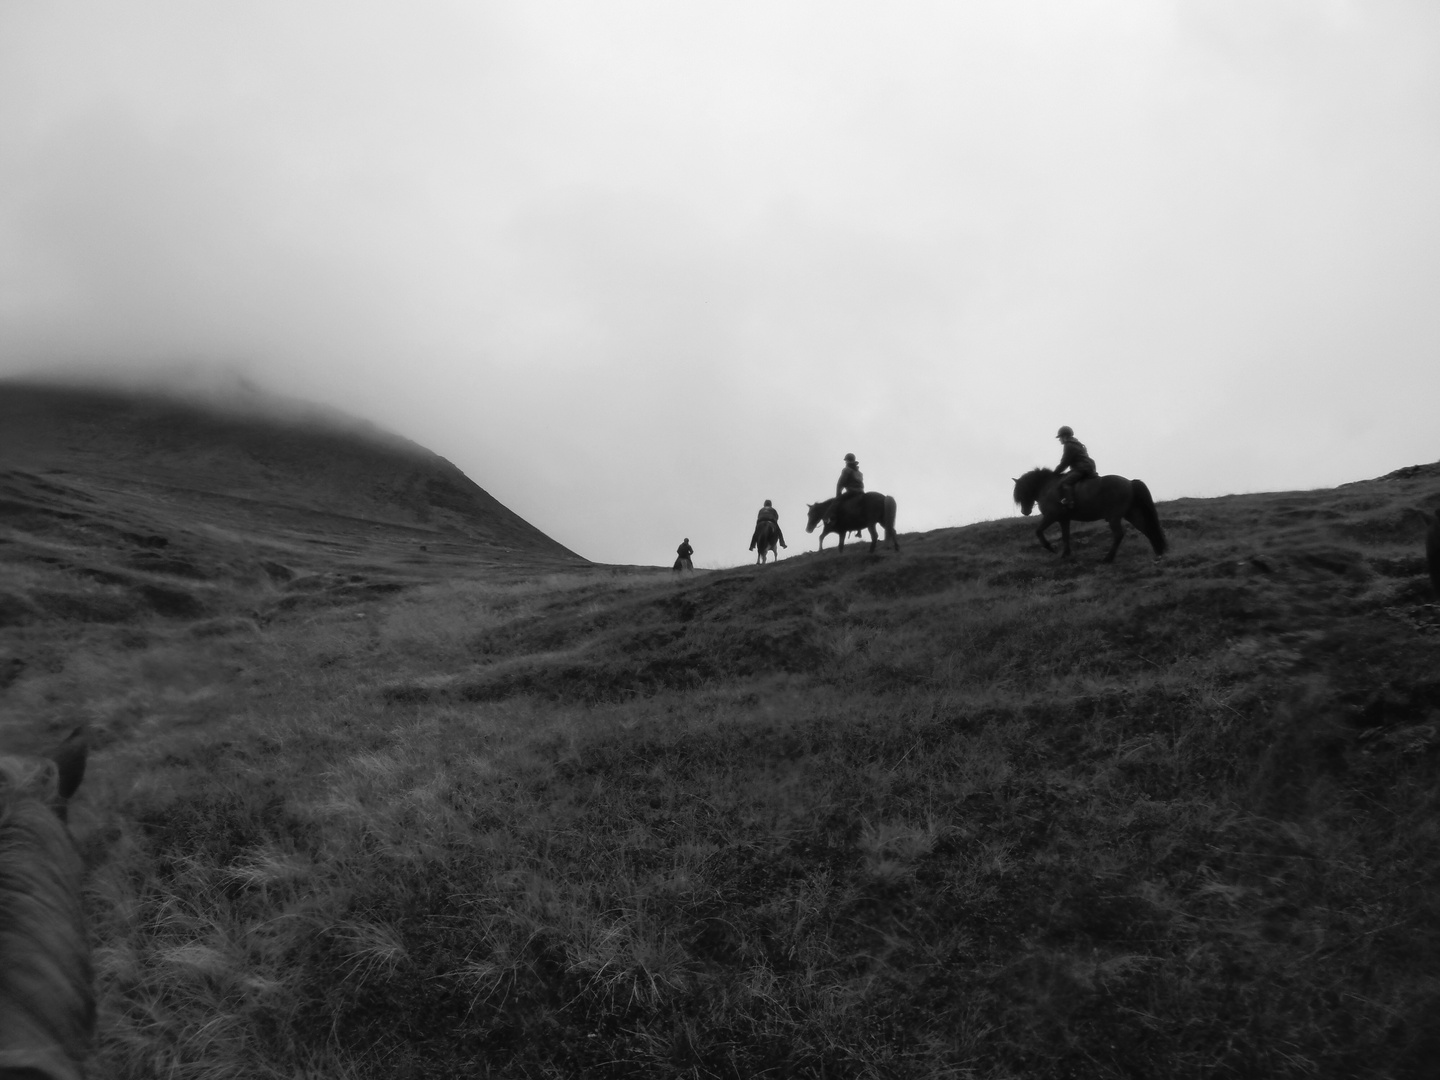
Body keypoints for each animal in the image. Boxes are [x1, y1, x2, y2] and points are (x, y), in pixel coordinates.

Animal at [1013, 466, 1169, 561]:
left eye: (1022, 492)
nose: (1025, 512)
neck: (1048, 487)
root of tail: (1130, 483)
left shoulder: (1051, 516)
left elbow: (1038, 531)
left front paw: (1050, 548)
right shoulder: (1064, 519)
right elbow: (1065, 536)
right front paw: (1065, 554)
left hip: (1114, 517)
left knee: (1119, 534)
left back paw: (1108, 558)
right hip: (1131, 514)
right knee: (1146, 528)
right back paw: (1158, 552)